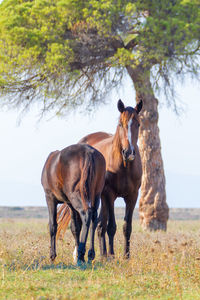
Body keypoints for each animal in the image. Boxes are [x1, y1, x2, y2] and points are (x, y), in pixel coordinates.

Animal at [57, 99, 143, 258]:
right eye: (120, 124)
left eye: (138, 124)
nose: (128, 152)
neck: (125, 166)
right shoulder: (110, 195)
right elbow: (111, 227)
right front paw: (112, 256)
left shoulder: (132, 196)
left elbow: (126, 227)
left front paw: (126, 257)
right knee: (90, 223)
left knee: (99, 225)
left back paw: (102, 254)